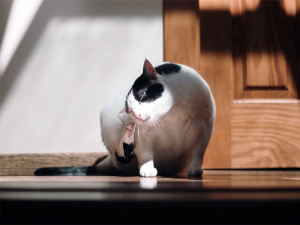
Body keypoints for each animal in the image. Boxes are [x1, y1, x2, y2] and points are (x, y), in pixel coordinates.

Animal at [34, 59, 214, 178]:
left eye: (142, 95)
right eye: (131, 112)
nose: (137, 116)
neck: (173, 113)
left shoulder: (204, 127)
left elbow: (198, 152)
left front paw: (195, 169)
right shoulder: (144, 136)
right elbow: (145, 154)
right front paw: (147, 168)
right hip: (108, 122)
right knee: (122, 155)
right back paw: (127, 135)